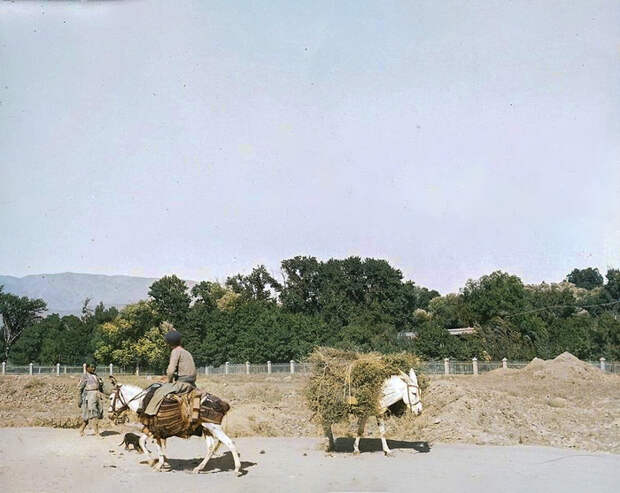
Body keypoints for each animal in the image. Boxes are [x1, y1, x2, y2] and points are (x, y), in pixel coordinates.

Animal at [109, 384, 240, 472]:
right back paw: (199, 468)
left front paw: (153, 462)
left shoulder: (153, 430)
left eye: (111, 398)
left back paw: (237, 469)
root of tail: (224, 404)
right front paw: (159, 463)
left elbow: (147, 443)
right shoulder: (154, 431)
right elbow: (149, 443)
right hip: (207, 429)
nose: (110, 415)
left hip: (214, 427)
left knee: (230, 443)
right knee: (211, 448)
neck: (143, 402)